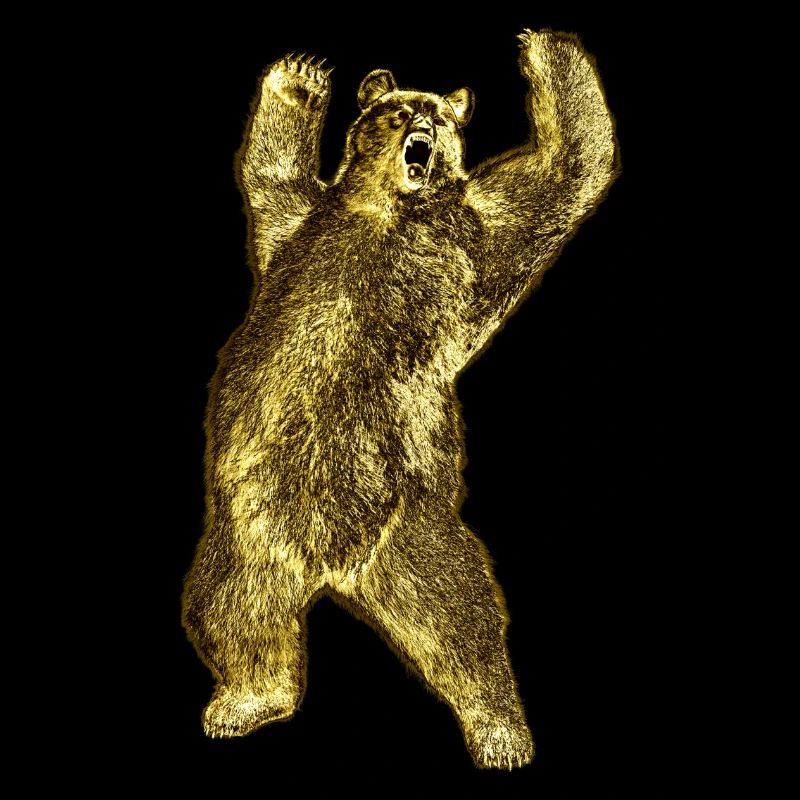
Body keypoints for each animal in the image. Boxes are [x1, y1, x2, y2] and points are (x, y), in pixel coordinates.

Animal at [182, 29, 617, 770]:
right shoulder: (299, 231)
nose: (423, 135)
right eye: (399, 110)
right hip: (250, 536)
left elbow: (556, 177)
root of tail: (334, 568)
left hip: (409, 525)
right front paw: (301, 77)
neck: (387, 208)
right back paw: (244, 700)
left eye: (442, 118)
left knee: (463, 618)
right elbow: (271, 176)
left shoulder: (468, 232)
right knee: (230, 613)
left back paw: (500, 731)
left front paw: (543, 49)